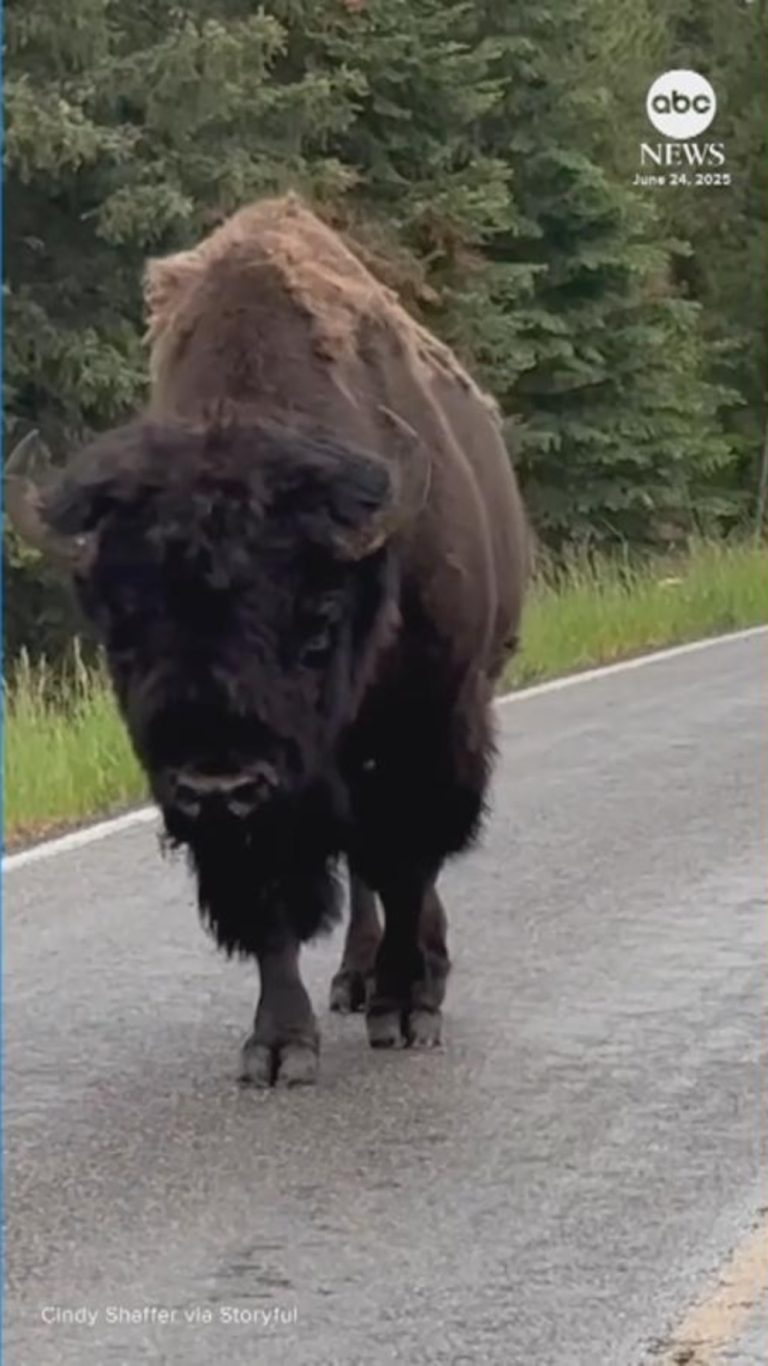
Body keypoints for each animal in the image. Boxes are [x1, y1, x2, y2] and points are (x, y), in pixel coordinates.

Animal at [6, 195, 529, 1086]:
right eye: (121, 632)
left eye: (317, 621)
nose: (219, 786)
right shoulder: (269, 808)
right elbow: (274, 905)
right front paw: (279, 1047)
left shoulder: (425, 732)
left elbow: (407, 863)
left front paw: (405, 1008)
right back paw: (353, 980)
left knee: (396, 868)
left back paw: (408, 982)